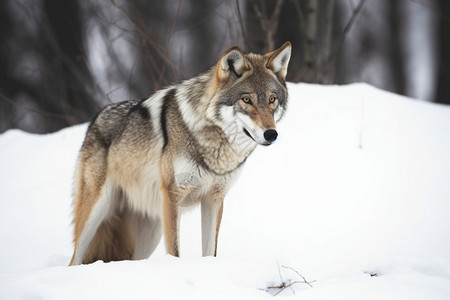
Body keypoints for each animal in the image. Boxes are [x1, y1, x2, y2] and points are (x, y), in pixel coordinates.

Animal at [68, 41, 290, 264]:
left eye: (272, 99)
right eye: (246, 100)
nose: (271, 134)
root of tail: (95, 120)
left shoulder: (214, 199)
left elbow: (210, 252)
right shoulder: (173, 196)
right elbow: (174, 251)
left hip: (151, 232)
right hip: (97, 212)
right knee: (74, 259)